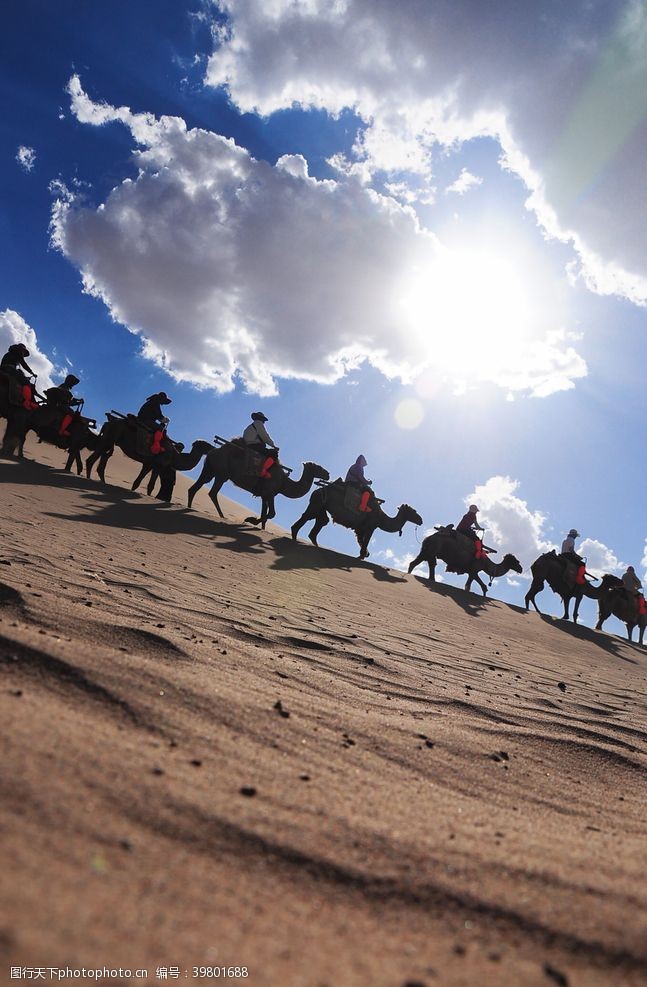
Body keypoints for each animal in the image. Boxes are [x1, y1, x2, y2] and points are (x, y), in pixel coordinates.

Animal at [186, 444, 330, 528]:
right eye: (318, 467)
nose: (328, 474)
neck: (284, 483)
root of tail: (213, 450)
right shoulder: (270, 493)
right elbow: (272, 513)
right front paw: (250, 519)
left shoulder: (263, 495)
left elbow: (264, 514)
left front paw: (258, 526)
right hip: (221, 473)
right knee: (213, 492)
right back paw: (221, 516)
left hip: (210, 469)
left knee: (196, 487)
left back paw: (190, 507)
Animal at [290, 482, 422, 560]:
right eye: (414, 511)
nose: (421, 520)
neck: (381, 517)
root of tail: (319, 489)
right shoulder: (370, 526)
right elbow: (366, 540)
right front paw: (362, 555)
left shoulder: (360, 528)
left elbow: (360, 540)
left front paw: (364, 554)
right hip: (317, 502)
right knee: (308, 516)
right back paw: (294, 536)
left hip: (322, 505)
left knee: (321, 520)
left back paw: (313, 543)